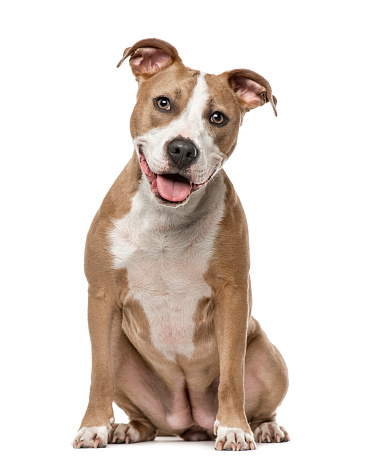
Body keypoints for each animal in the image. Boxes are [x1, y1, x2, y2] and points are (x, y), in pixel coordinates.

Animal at [72, 38, 290, 452]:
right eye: (163, 103)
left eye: (218, 117)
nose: (182, 149)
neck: (165, 220)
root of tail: (188, 423)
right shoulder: (102, 296)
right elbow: (97, 374)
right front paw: (93, 427)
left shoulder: (232, 296)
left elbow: (232, 374)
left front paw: (235, 428)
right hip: (125, 356)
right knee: (143, 416)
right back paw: (128, 429)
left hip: (270, 360)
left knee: (258, 399)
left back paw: (264, 428)